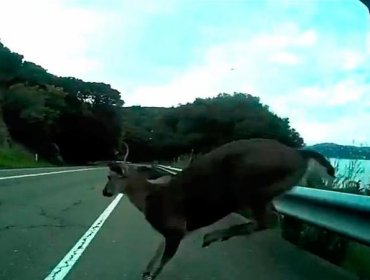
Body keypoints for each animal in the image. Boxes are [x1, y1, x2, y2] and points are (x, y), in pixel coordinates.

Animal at [101, 138, 336, 280]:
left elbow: (165, 258)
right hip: (263, 193)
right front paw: (146, 271)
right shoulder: (177, 231)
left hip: (248, 187)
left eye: (110, 177)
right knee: (270, 219)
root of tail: (300, 155)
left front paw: (151, 275)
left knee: (269, 220)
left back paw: (213, 236)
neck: (149, 198)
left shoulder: (175, 228)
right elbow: (157, 251)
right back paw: (216, 236)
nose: (105, 192)